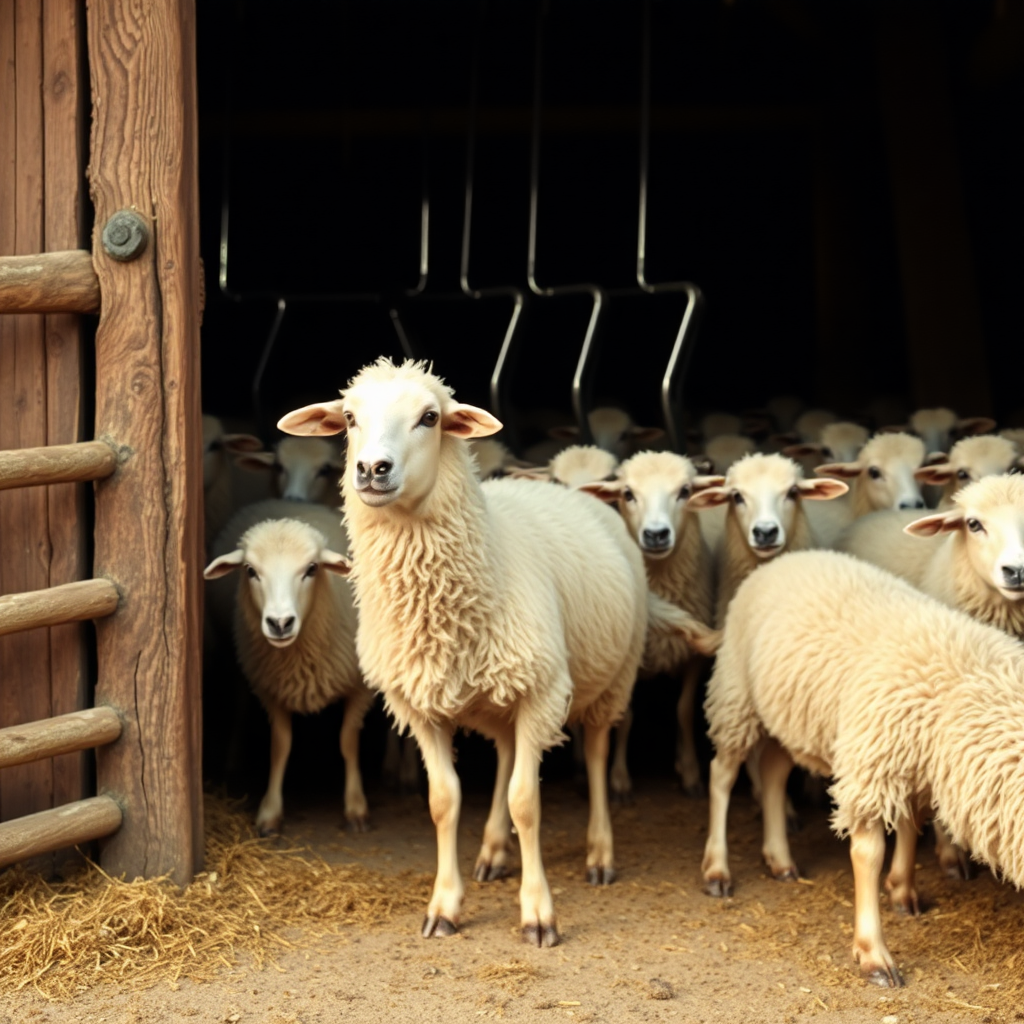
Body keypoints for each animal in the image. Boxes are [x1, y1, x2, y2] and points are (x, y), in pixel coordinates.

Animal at [201, 499, 374, 835]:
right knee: (240, 707)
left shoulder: (360, 687)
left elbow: (348, 741)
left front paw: (356, 808)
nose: (280, 623)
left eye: (312, 569)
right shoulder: (272, 689)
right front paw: (270, 813)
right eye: (250, 571)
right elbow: (280, 747)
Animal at [581, 456, 724, 798]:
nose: (656, 534)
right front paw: (619, 780)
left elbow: (684, 710)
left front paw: (690, 772)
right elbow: (626, 716)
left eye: (685, 491)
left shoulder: (693, 659)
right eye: (628, 493)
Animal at [700, 548, 1024, 987]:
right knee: (723, 775)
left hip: (790, 713)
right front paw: (873, 954)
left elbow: (911, 823)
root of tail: (791, 557)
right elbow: (868, 854)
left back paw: (780, 859)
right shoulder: (873, 763)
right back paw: (717, 870)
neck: (960, 682)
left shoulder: (910, 764)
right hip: (737, 692)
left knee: (773, 771)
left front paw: (902, 889)